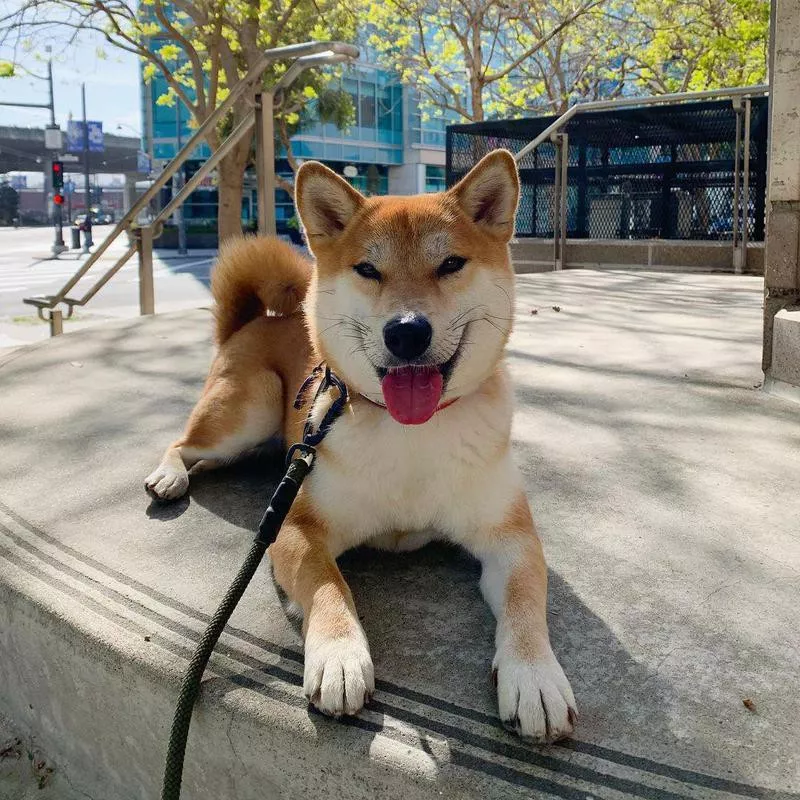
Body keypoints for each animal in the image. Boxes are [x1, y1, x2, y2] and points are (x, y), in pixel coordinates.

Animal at [145, 152, 576, 744]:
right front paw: (340, 656)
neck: (409, 433)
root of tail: (254, 321)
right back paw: (169, 474)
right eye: (368, 270)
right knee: (185, 443)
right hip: (250, 406)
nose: (407, 331)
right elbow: (330, 586)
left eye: (450, 264)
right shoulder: (296, 529)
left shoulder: (510, 537)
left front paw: (534, 676)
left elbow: (526, 601)